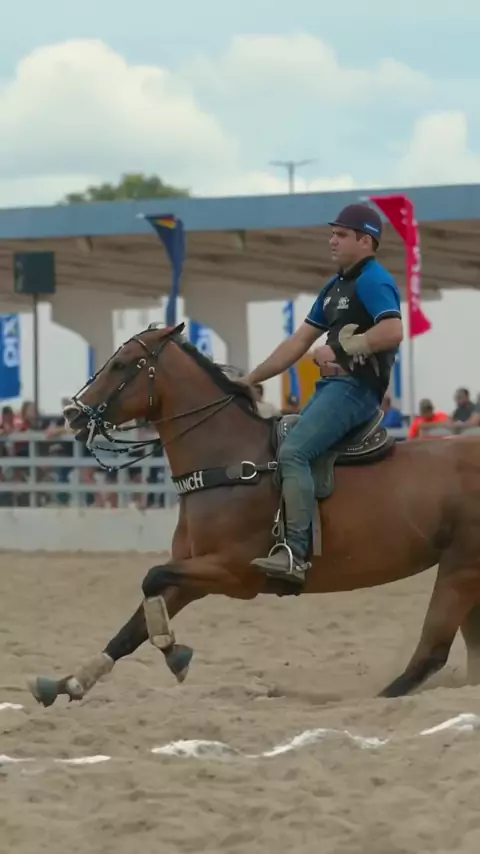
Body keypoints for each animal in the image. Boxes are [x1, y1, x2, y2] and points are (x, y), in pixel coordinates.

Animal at [28, 322, 480, 708]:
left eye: (123, 363)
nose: (72, 414)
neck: (230, 462)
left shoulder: (233, 572)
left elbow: (151, 579)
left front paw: (174, 651)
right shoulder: (194, 573)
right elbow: (134, 624)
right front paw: (70, 681)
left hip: (459, 569)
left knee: (431, 652)